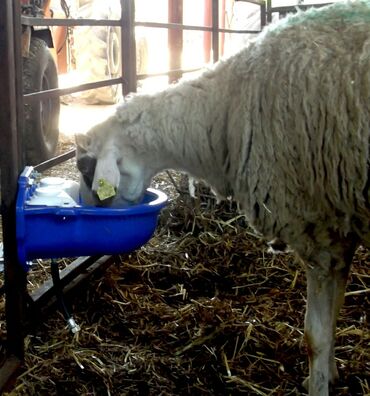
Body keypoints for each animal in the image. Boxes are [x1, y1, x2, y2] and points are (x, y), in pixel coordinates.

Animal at [75, 1, 370, 394]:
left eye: (87, 169)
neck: (225, 107)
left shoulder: (316, 227)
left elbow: (315, 336)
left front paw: (319, 382)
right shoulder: (341, 224)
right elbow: (336, 310)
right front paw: (331, 373)